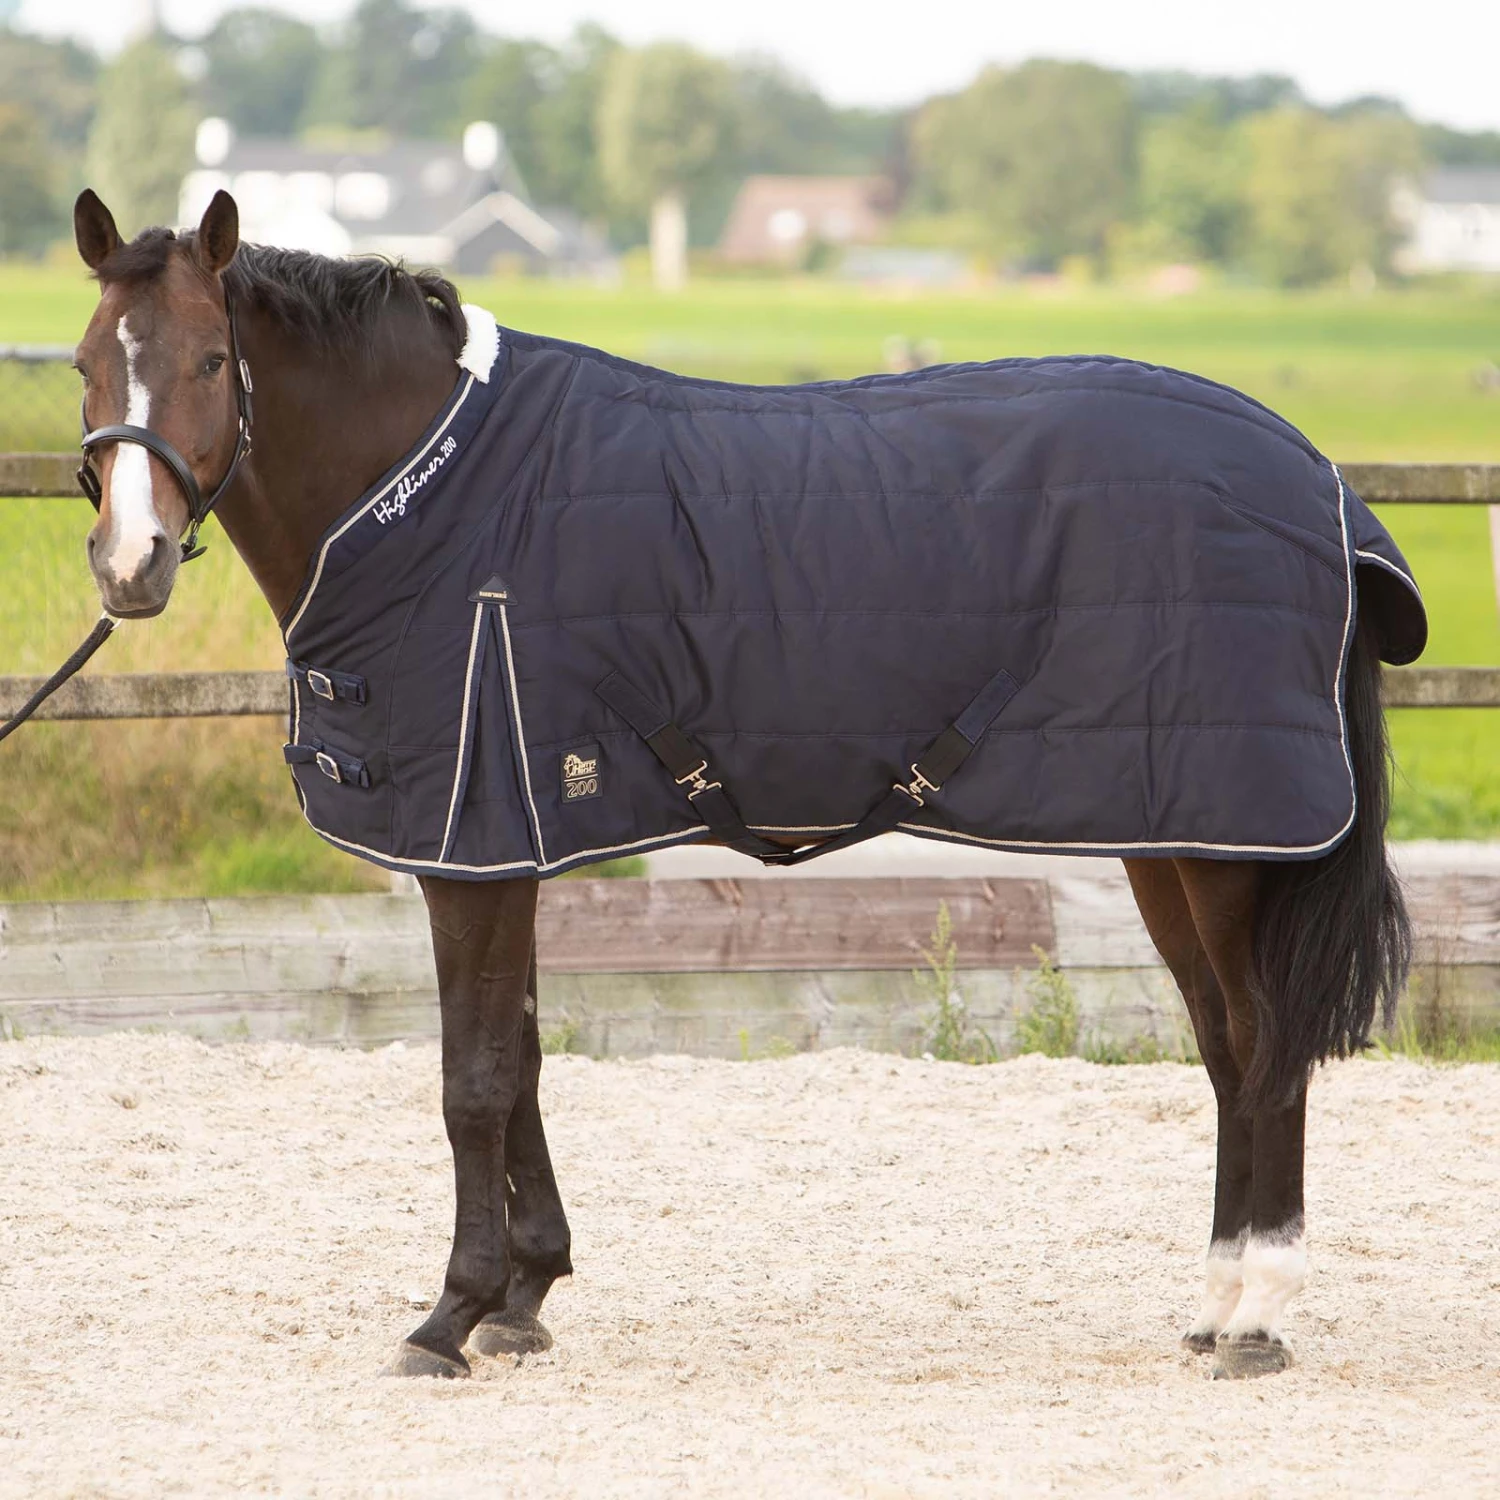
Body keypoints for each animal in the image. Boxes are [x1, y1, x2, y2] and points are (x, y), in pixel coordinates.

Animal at [63, 186, 1421, 1382]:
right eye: (84, 365)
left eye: (207, 361)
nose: (130, 566)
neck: (439, 496)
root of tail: (1315, 478)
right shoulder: (515, 843)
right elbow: (528, 1057)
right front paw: (526, 1296)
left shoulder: (475, 848)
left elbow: (475, 1082)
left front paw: (451, 1315)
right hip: (1171, 836)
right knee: (1227, 1050)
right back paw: (1215, 1308)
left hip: (1228, 845)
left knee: (1266, 1047)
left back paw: (1257, 1318)